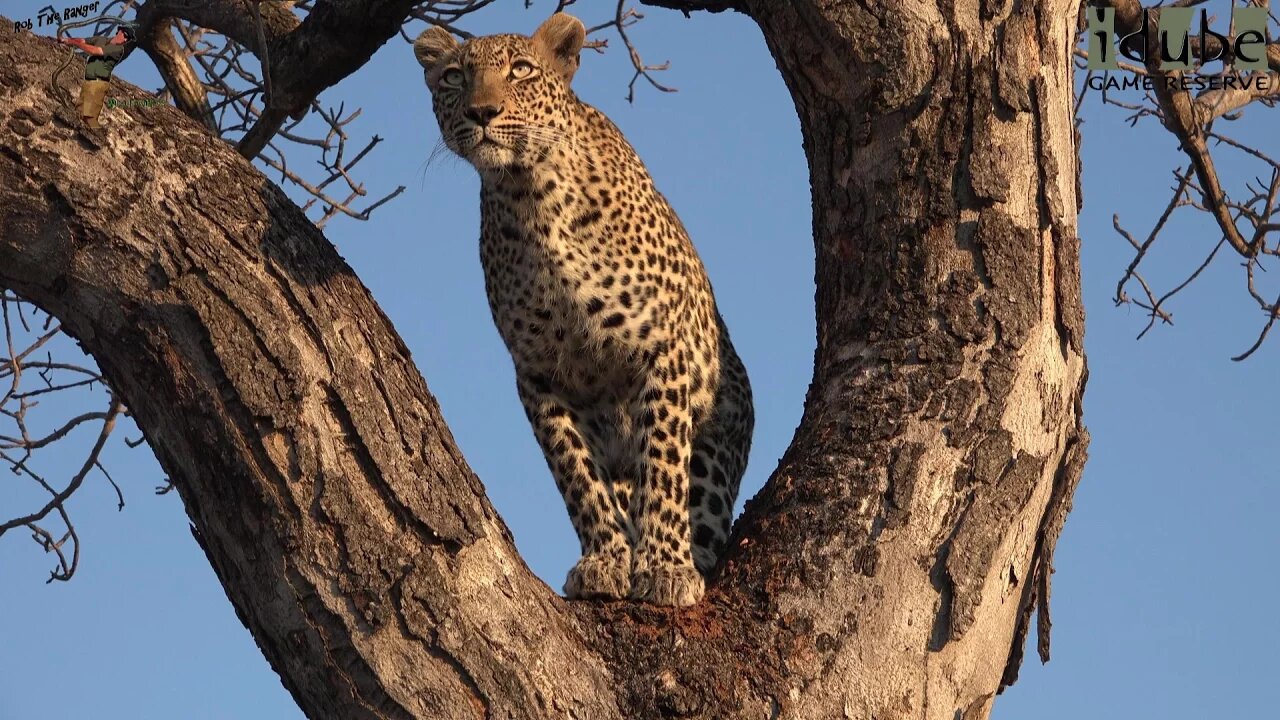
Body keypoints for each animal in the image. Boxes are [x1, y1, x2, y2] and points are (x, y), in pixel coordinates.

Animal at [414, 12, 747, 604]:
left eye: (521, 70)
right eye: (454, 77)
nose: (481, 112)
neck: (531, 194)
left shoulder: (662, 350)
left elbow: (663, 463)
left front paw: (665, 567)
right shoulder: (540, 373)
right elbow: (575, 474)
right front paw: (605, 560)